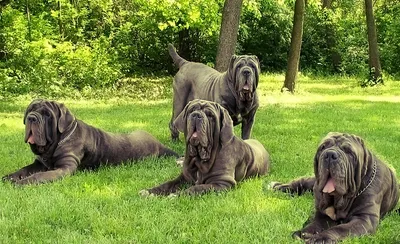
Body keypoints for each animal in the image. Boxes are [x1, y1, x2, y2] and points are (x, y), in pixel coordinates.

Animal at [2, 99, 178, 185]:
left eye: (47, 115)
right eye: (30, 110)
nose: (32, 118)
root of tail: (157, 143)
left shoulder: (64, 168)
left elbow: (40, 176)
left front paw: (22, 182)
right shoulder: (38, 163)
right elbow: (24, 169)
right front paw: (10, 177)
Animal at [140, 98, 268, 195]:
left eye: (210, 115)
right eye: (191, 110)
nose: (196, 115)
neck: (200, 159)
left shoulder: (222, 183)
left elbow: (197, 188)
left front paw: (177, 195)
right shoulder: (184, 177)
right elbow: (168, 184)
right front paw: (150, 192)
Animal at [270, 132, 398, 243]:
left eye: (348, 151)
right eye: (323, 147)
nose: (330, 154)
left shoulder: (365, 218)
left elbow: (341, 228)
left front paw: (320, 238)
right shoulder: (323, 212)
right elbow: (316, 223)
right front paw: (304, 233)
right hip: (316, 182)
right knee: (303, 182)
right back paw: (279, 186)